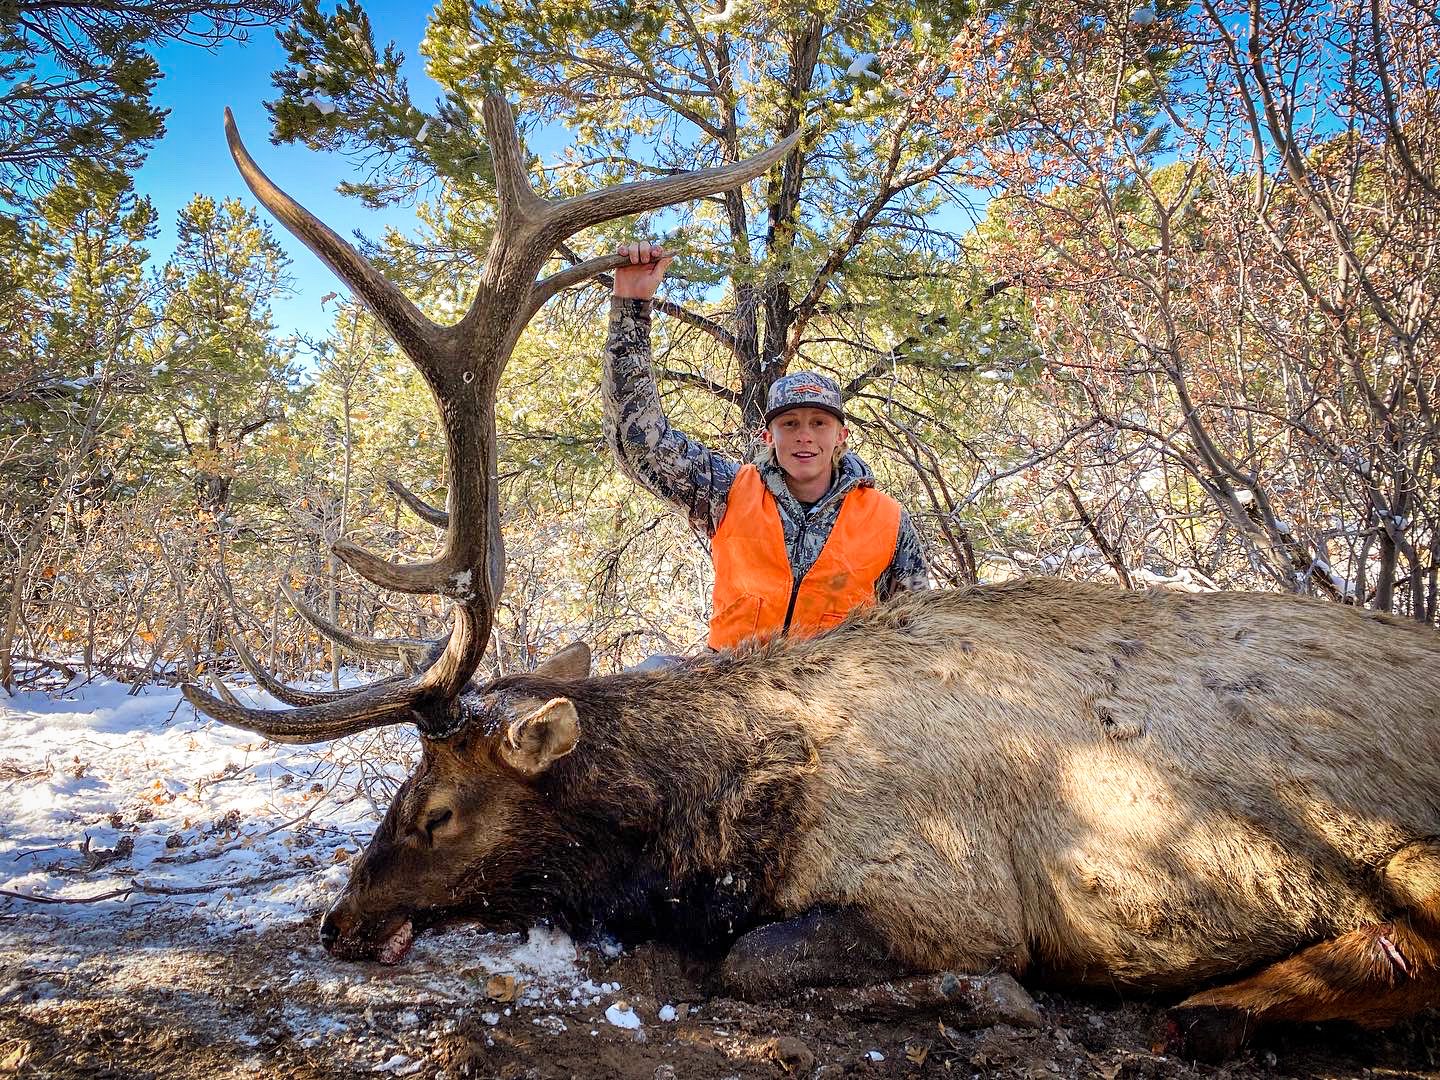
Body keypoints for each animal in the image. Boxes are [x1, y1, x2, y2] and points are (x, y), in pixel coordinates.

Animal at [182, 94, 1440, 1064]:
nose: (340, 920)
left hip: (1399, 845)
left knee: (1404, 945)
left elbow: (756, 961)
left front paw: (985, 997)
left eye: (437, 810)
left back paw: (1218, 1008)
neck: (726, 819)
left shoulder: (947, 896)